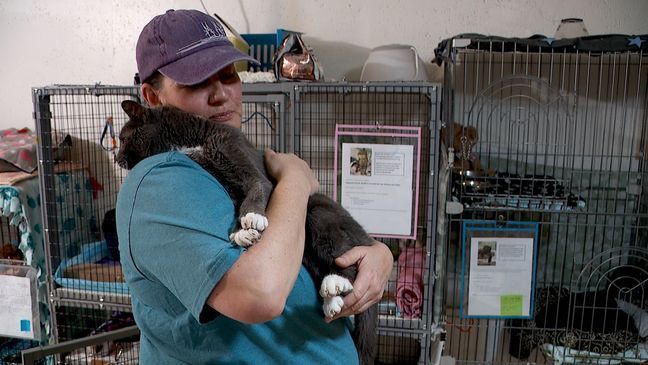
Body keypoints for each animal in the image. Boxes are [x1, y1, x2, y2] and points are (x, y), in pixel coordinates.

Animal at [118, 99, 378, 364]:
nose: (117, 158)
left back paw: (337, 281)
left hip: (316, 213)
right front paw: (240, 233)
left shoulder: (242, 160)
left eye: (122, 138)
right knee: (321, 267)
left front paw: (253, 217)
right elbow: (236, 205)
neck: (194, 141)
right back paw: (331, 299)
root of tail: (366, 236)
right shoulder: (222, 181)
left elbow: (257, 186)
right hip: (306, 252)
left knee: (348, 261)